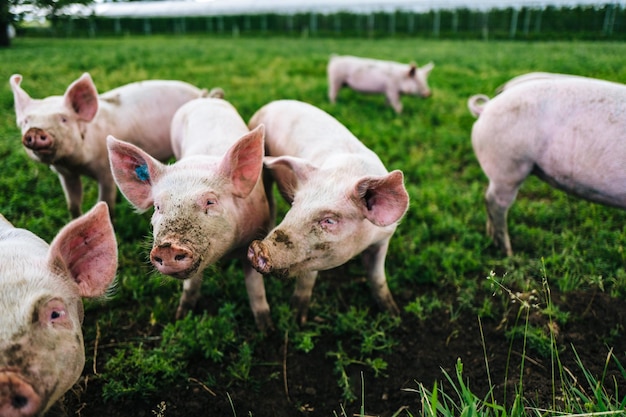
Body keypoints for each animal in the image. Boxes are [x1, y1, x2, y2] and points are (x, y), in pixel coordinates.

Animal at [8, 73, 207, 219]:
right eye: (26, 121)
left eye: (63, 119)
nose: (34, 131)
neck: (77, 164)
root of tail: (200, 93)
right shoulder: (65, 173)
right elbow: (73, 204)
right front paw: (76, 220)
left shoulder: (106, 171)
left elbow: (106, 202)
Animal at [106, 98, 272, 332]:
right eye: (158, 207)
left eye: (210, 201)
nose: (167, 247)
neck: (226, 254)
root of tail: (207, 96)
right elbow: (192, 284)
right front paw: (180, 316)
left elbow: (255, 289)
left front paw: (267, 329)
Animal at [246, 99, 412, 324]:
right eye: (294, 204)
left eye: (329, 221)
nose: (258, 248)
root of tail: (271, 104)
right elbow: (308, 278)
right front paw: (298, 320)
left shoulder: (383, 239)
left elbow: (378, 277)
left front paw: (394, 315)